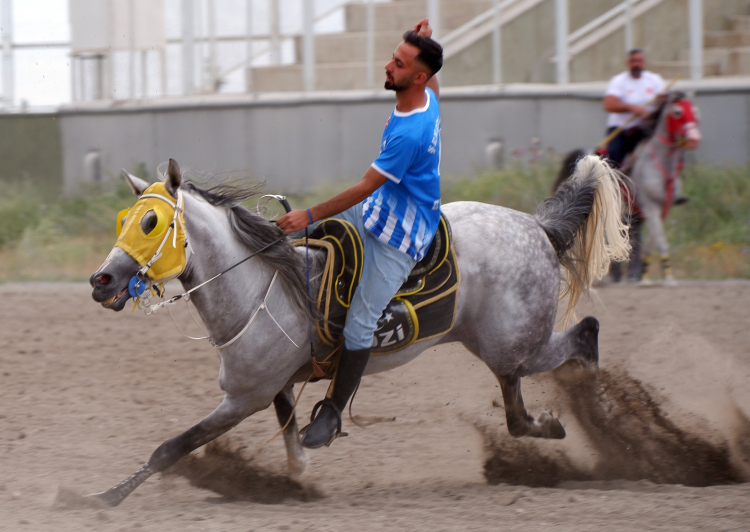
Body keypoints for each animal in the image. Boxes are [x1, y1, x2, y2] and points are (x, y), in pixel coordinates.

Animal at [88, 155, 632, 508]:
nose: (102, 280)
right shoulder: (277, 385)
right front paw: (295, 482)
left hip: (518, 344)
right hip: (502, 348)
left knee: (585, 335)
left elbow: (171, 448)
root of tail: (538, 228)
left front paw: (102, 495)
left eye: (152, 222)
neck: (262, 286)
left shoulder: (245, 398)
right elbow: (290, 442)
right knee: (519, 413)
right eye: (125, 219)